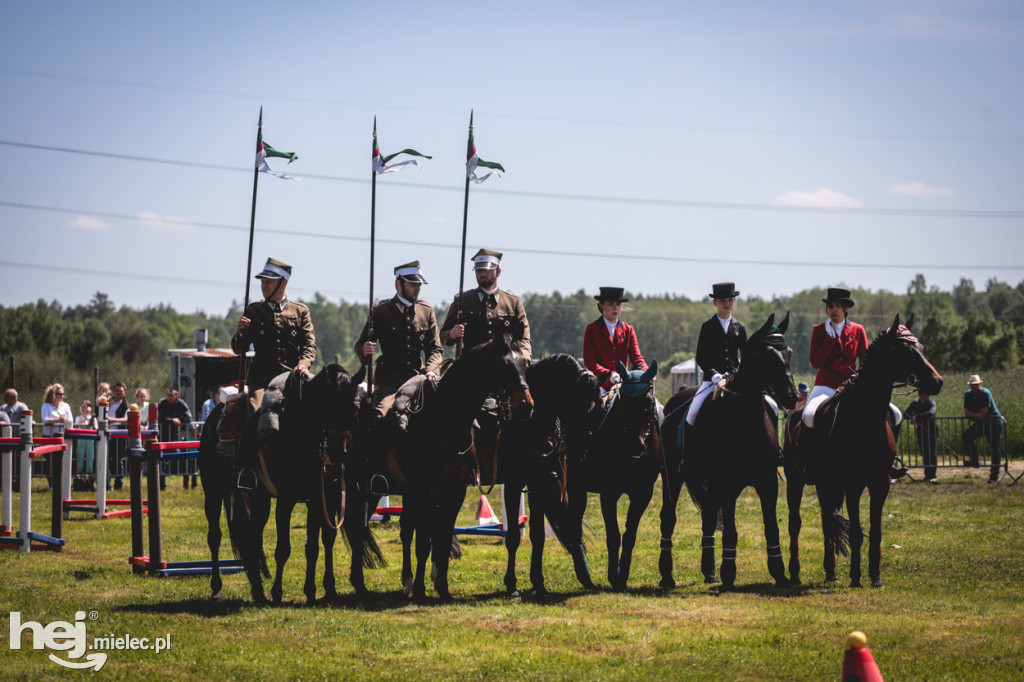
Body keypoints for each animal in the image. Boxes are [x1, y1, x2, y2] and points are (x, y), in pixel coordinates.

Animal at [477, 352, 602, 598]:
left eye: (595, 408)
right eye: (578, 403)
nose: (580, 451)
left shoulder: (538, 485)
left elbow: (538, 536)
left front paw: (539, 584)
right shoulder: (514, 484)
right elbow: (514, 537)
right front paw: (512, 585)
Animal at [569, 358, 663, 585]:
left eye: (648, 403)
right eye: (623, 404)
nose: (636, 446)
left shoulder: (643, 493)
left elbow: (630, 535)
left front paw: (623, 575)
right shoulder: (608, 493)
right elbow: (613, 535)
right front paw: (614, 575)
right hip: (576, 487)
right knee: (574, 523)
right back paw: (584, 574)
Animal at [655, 311, 798, 585]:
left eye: (789, 354)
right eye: (766, 355)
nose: (793, 397)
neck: (745, 421)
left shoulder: (768, 482)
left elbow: (771, 527)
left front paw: (779, 572)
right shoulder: (728, 483)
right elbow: (731, 530)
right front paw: (729, 573)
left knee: (708, 517)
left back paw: (709, 571)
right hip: (673, 476)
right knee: (668, 517)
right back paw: (667, 575)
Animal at [782, 313, 942, 585]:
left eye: (920, 347)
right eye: (904, 350)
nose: (937, 382)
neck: (865, 418)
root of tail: (796, 409)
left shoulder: (881, 482)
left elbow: (875, 530)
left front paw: (875, 577)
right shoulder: (854, 484)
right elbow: (856, 531)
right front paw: (856, 577)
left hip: (827, 482)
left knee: (826, 521)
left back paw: (831, 573)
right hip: (796, 479)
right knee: (795, 523)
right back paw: (794, 573)